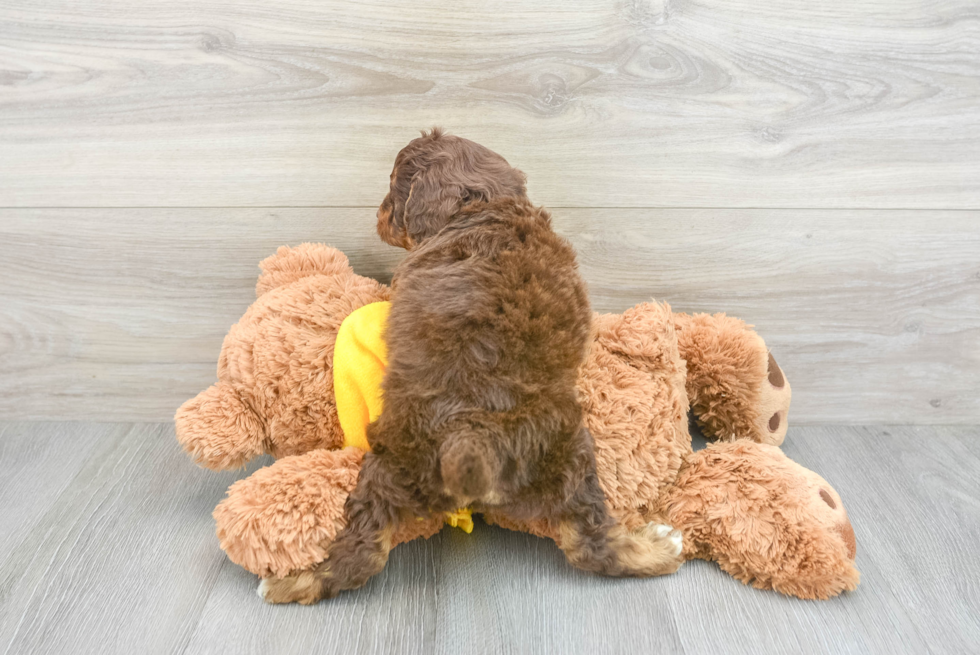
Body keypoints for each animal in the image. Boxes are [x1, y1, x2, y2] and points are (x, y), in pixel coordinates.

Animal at [264, 129, 684, 604]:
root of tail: (473, 440)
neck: (483, 204)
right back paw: (658, 551)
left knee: (360, 555)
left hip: (388, 469)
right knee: (591, 542)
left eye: (392, 186)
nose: (377, 213)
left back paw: (289, 582)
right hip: (572, 454)